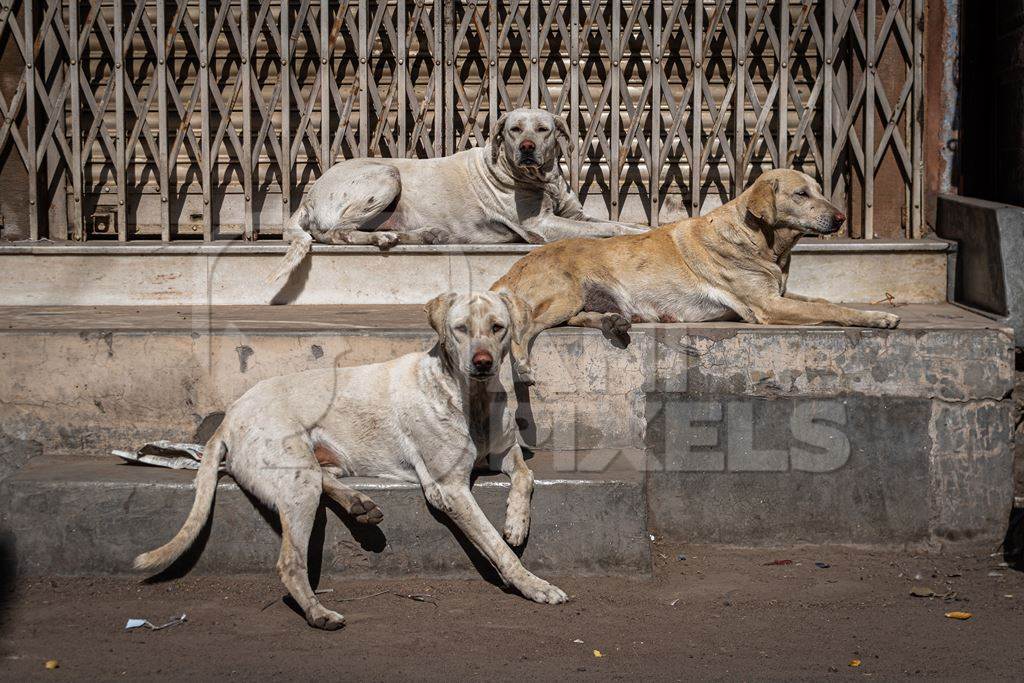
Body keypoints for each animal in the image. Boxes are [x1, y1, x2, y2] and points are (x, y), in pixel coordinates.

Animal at [491, 167, 901, 385]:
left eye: (819, 190)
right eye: (801, 194)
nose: (841, 218)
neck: (761, 240)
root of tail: (509, 271)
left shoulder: (780, 295)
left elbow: (822, 300)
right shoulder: (766, 306)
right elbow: (835, 309)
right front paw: (878, 316)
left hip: (581, 300)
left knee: (576, 319)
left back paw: (612, 321)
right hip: (564, 294)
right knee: (523, 327)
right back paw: (523, 365)